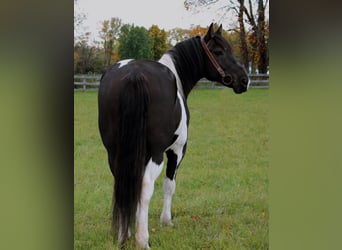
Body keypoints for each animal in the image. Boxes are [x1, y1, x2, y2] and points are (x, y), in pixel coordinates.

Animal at [97, 23, 250, 248]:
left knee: (123, 184)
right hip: (156, 153)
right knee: (145, 186)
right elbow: (169, 185)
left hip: (114, 152)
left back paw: (124, 235)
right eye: (219, 51)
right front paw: (166, 221)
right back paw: (142, 240)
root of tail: (134, 74)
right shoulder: (177, 150)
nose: (244, 80)